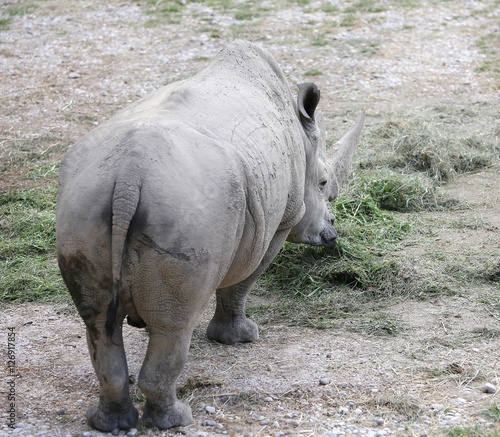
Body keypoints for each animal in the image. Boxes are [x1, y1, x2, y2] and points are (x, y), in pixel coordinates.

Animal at [56, 41, 366, 430]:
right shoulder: (278, 223)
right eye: (324, 183)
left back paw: (110, 423)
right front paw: (240, 338)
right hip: (186, 208)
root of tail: (129, 174)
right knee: (174, 328)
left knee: (98, 323)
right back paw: (175, 420)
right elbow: (242, 283)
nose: (331, 234)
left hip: (85, 200)